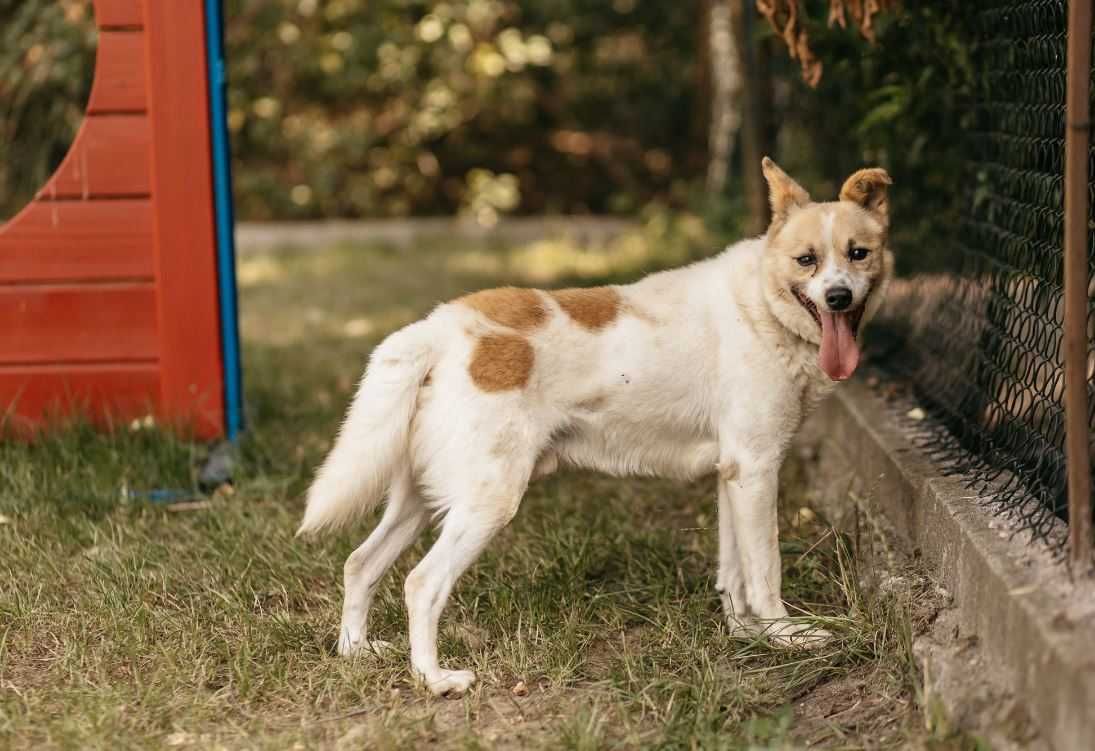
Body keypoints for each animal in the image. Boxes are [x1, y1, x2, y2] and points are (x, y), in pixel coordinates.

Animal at [297, 158, 889, 700]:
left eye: (858, 254)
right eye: (807, 260)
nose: (838, 297)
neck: (761, 304)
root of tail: (440, 327)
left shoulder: (735, 474)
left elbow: (736, 574)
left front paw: (747, 635)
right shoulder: (758, 469)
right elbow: (765, 571)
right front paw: (786, 636)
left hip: (421, 499)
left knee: (359, 564)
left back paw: (356, 652)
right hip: (487, 502)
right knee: (421, 584)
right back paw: (435, 680)